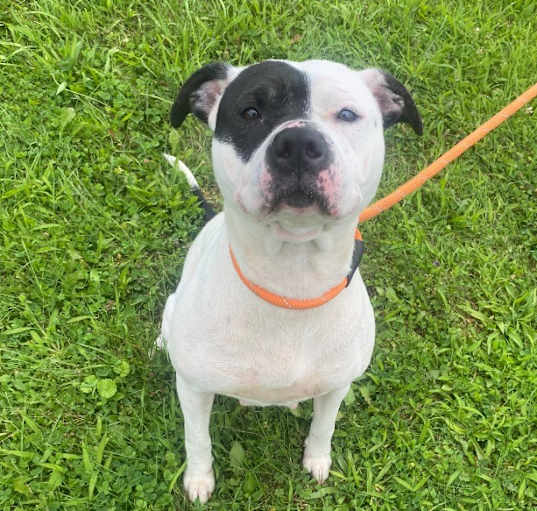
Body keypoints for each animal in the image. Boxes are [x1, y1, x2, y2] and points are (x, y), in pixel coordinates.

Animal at [157, 58, 420, 502]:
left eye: (347, 114)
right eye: (250, 112)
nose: (298, 143)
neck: (291, 283)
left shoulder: (337, 386)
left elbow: (324, 426)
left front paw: (317, 460)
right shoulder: (192, 388)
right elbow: (198, 439)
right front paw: (198, 479)